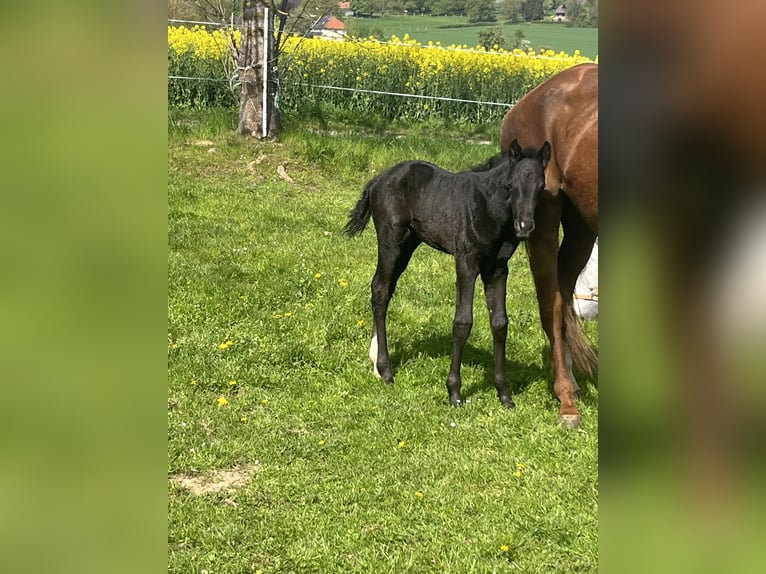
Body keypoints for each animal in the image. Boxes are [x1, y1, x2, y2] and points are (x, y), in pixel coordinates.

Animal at [345, 140, 551, 408]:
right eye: (511, 186)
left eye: (541, 187)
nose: (524, 227)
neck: (490, 210)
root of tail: (378, 179)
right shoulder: (466, 263)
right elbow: (462, 322)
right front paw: (454, 392)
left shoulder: (497, 269)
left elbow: (500, 323)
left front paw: (504, 394)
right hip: (392, 241)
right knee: (380, 291)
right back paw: (385, 370)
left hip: (410, 243)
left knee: (383, 289)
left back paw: (375, 363)